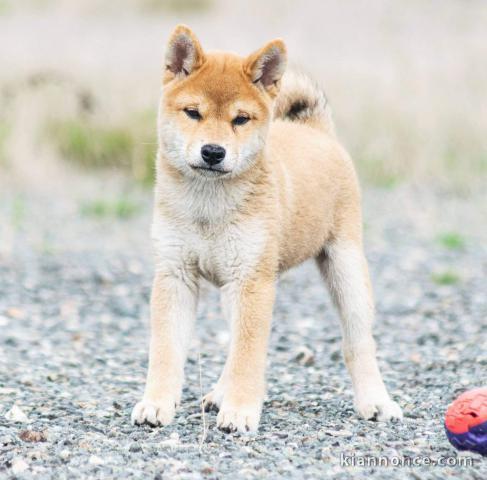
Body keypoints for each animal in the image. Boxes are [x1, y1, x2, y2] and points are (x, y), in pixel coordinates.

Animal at [132, 24, 402, 434]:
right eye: (193, 112)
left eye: (241, 119)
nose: (213, 152)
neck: (209, 206)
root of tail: (316, 131)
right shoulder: (175, 276)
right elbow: (166, 351)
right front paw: (157, 404)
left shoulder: (251, 282)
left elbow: (248, 355)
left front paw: (241, 411)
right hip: (235, 289)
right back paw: (220, 393)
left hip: (345, 269)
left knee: (358, 343)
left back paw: (375, 401)